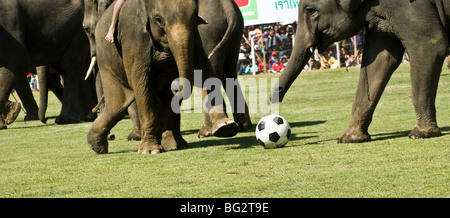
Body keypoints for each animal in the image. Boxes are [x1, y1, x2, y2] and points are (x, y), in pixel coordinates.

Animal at [0, 0, 96, 129]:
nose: (45, 120)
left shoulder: (9, 20)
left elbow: (18, 61)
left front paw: (10, 116)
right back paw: (85, 116)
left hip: (79, 29)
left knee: (70, 65)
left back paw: (66, 119)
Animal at [85, 0, 237, 154]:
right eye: (158, 20)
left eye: (195, 17)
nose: (175, 87)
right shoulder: (133, 36)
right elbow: (141, 82)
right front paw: (150, 151)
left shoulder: (195, 36)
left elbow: (203, 68)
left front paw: (226, 127)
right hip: (107, 62)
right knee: (118, 104)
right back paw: (97, 146)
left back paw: (176, 144)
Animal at [268, 0, 448, 143]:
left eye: (311, 10)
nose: (275, 96)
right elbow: (380, 60)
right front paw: (349, 138)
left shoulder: (407, 6)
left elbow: (428, 46)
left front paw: (421, 133)